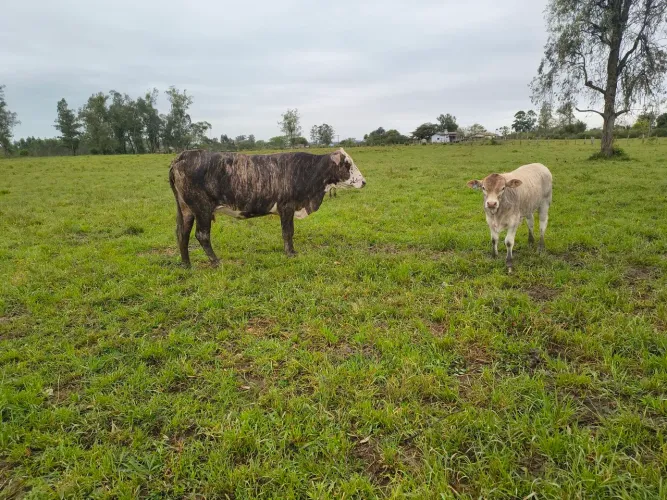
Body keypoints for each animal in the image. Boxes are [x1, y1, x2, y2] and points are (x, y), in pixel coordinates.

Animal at [169, 148, 366, 267]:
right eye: (347, 164)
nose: (363, 182)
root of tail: (183, 155)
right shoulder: (287, 207)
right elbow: (288, 232)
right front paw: (290, 253)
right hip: (202, 208)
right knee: (201, 235)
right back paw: (216, 262)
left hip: (186, 209)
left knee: (182, 233)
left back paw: (186, 264)